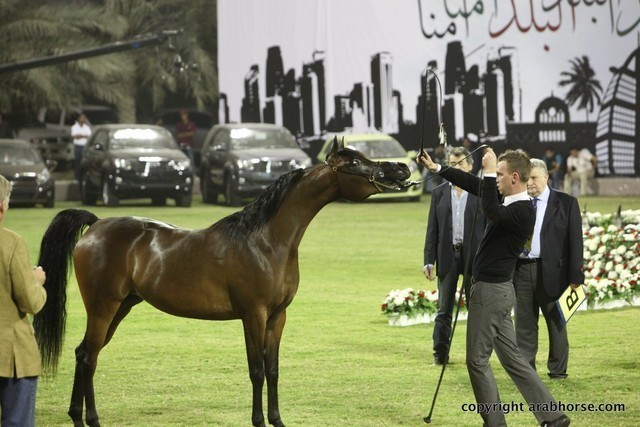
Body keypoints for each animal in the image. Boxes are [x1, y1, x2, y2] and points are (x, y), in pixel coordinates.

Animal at [34, 138, 411, 427]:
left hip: (120, 307)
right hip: (103, 307)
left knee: (84, 353)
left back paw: (76, 416)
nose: (401, 170)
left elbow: (273, 370)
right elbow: (256, 370)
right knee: (89, 357)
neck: (266, 241)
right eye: (355, 163)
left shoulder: (277, 317)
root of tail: (95, 225)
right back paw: (92, 419)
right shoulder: (253, 315)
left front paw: (277, 420)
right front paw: (258, 421)